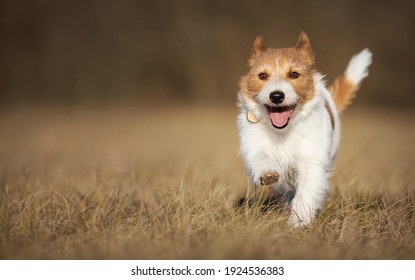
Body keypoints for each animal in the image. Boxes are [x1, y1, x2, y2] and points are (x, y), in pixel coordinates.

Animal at [237, 31, 374, 226]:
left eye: (294, 74)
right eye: (262, 76)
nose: (276, 96)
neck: (283, 131)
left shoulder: (311, 161)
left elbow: (307, 191)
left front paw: (298, 221)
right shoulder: (254, 145)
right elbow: (261, 156)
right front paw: (268, 173)